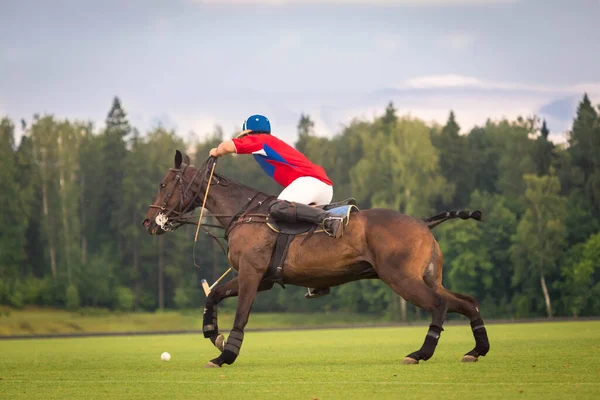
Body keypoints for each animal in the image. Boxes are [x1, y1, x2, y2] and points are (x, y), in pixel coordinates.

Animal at [143, 152, 490, 368]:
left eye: (163, 184)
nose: (149, 223)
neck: (243, 213)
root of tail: (422, 222)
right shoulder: (262, 279)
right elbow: (213, 294)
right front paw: (213, 334)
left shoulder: (252, 275)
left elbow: (240, 315)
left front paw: (224, 356)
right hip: (428, 276)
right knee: (466, 302)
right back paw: (476, 350)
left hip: (402, 279)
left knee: (440, 305)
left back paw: (420, 353)